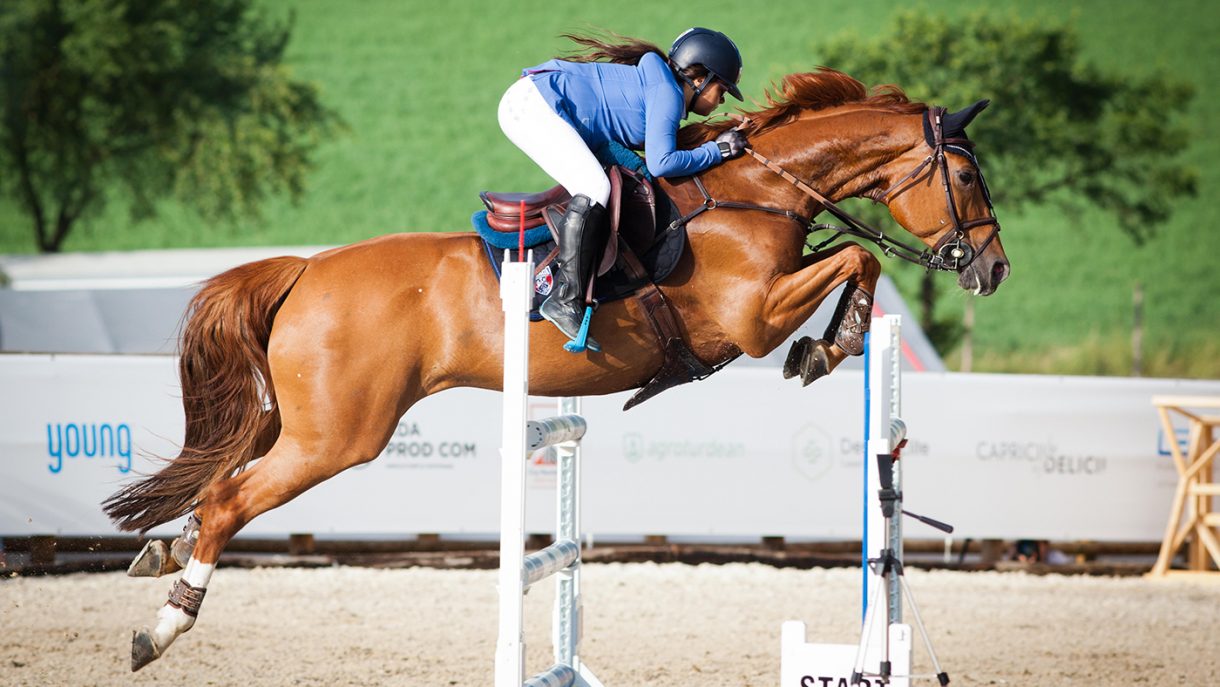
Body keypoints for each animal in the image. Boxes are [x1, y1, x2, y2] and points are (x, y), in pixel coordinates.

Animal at [103, 68, 1008, 671]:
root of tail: (305, 271)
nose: (992, 270)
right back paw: (162, 625)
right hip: (338, 435)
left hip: (306, 425)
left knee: (219, 483)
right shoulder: (752, 318)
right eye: (967, 175)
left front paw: (828, 344)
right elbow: (858, 257)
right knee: (229, 500)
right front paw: (827, 346)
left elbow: (856, 257)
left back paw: (163, 551)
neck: (756, 191)